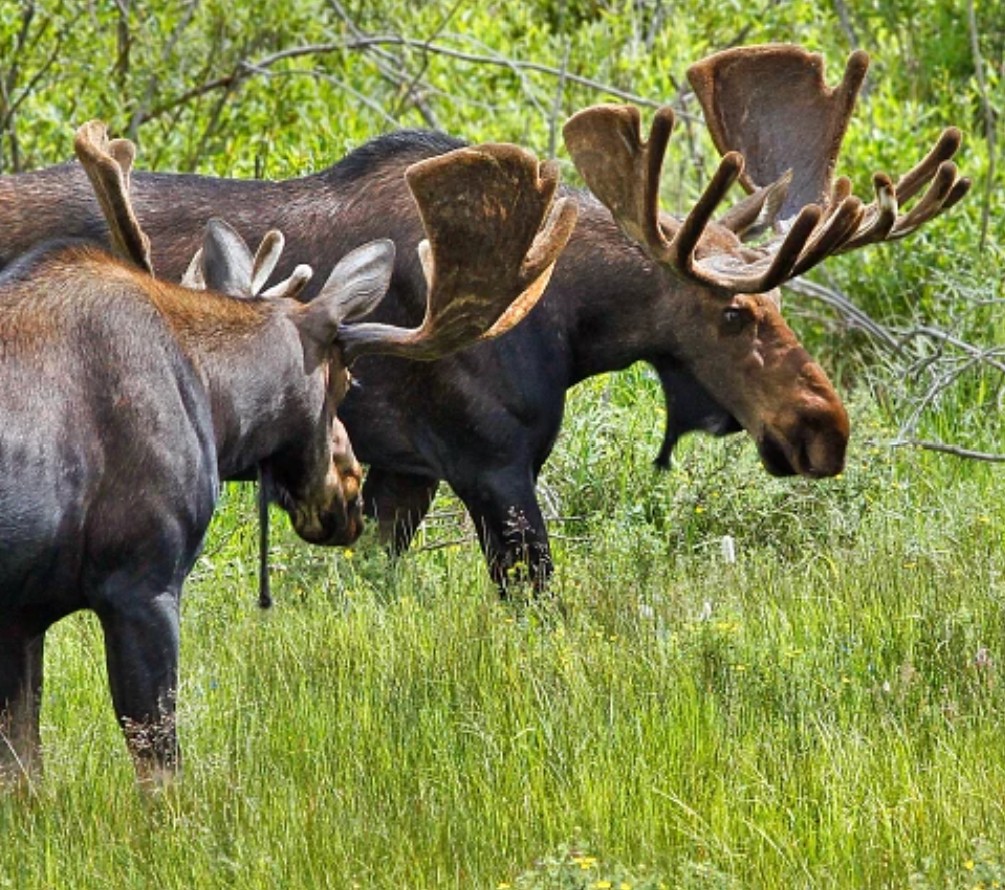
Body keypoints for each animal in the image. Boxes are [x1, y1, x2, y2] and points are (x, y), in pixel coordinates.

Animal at [0, 45, 969, 596]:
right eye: (732, 313)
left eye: (779, 303)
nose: (824, 428)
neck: (570, 327)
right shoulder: (490, 467)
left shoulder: (401, 476)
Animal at [0, 121, 576, 786]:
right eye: (347, 381)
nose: (349, 488)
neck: (211, 394)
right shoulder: (139, 583)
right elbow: (160, 773)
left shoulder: (21, 615)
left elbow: (24, 775)